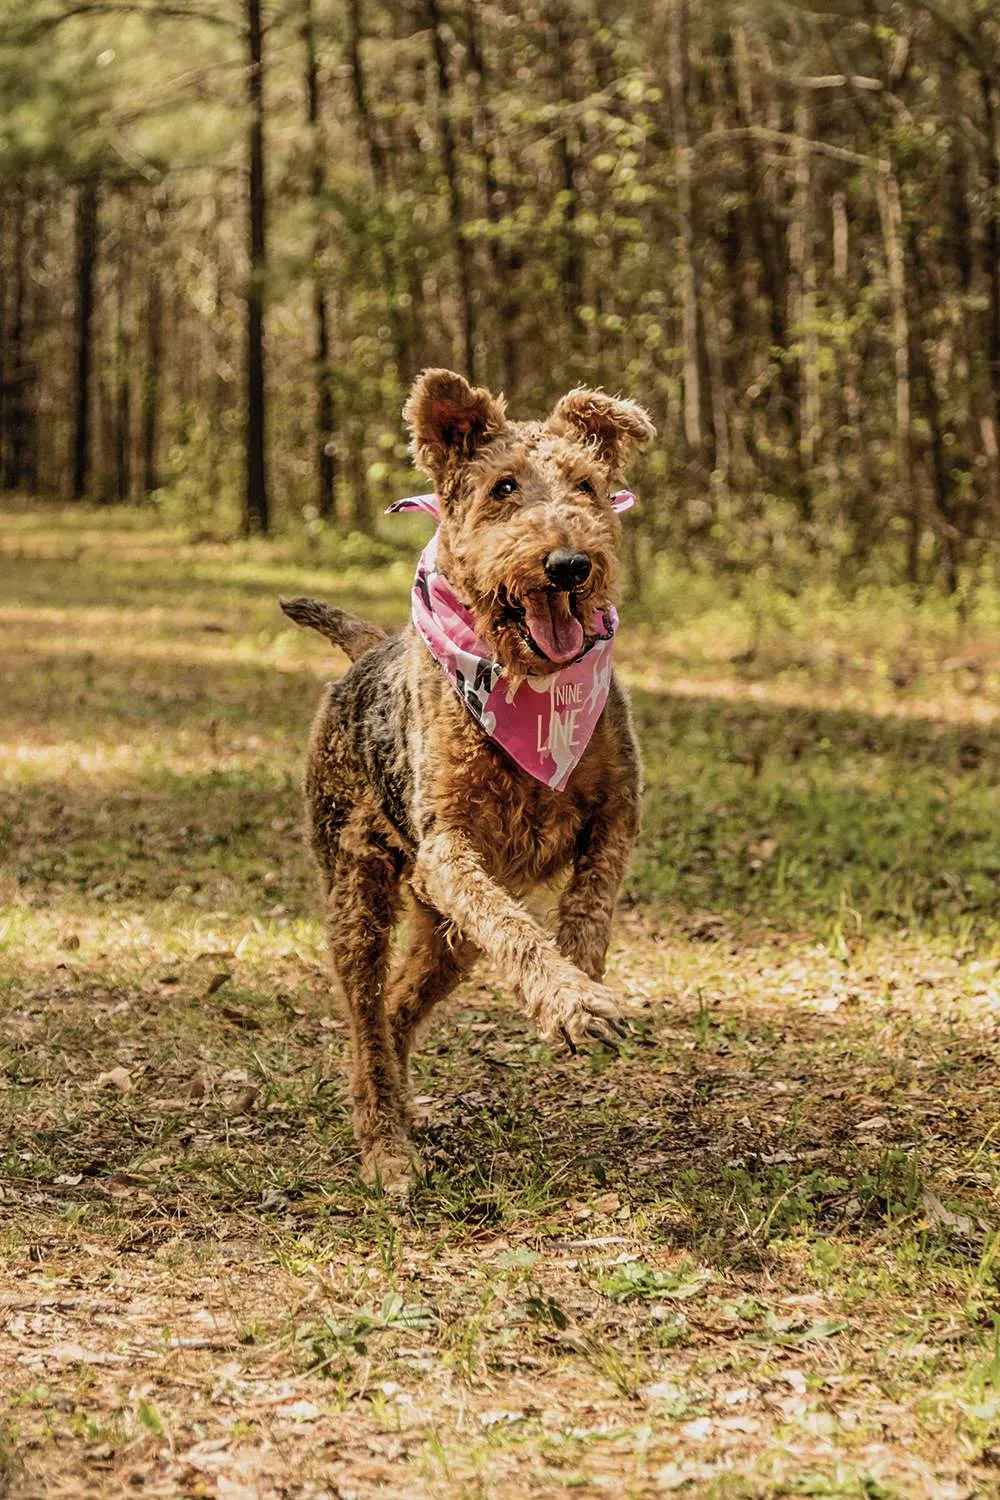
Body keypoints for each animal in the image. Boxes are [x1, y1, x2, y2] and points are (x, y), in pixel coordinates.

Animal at [281, 369, 656, 1188]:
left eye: (587, 485)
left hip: (445, 933)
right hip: (359, 893)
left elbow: (592, 902)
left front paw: (581, 979)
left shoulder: (618, 809)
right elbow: (517, 931)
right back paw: (386, 1145)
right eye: (503, 487)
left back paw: (400, 1106)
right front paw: (574, 1002)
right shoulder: (450, 847)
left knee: (396, 1008)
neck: (528, 680)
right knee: (367, 1013)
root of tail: (366, 650)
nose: (569, 564)